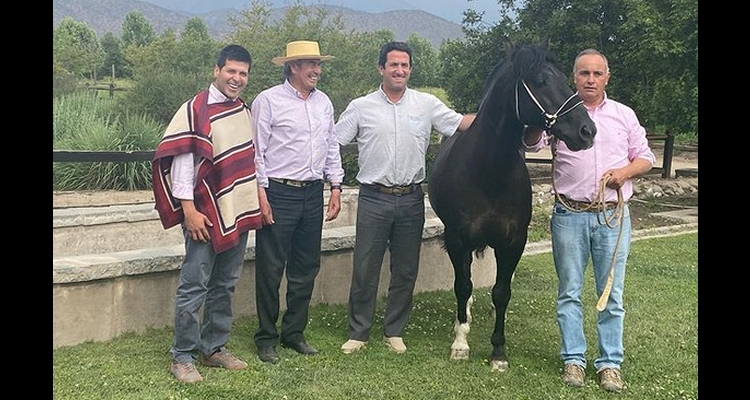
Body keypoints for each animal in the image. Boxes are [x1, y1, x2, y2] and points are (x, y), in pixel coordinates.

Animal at [428, 42, 600, 370]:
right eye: (541, 81)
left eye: (565, 78)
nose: (587, 131)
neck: (488, 172)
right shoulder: (456, 239)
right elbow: (463, 286)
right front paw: (460, 343)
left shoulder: (514, 241)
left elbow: (502, 292)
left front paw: (498, 352)